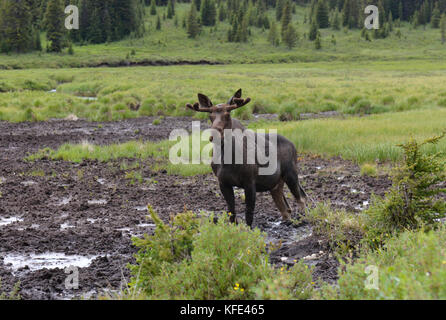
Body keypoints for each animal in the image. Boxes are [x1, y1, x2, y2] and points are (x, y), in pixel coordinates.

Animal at [186, 89, 306, 226]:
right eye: (210, 116)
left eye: (227, 115)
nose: (214, 136)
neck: (228, 159)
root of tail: (293, 145)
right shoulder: (223, 182)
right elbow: (231, 212)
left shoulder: (250, 182)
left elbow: (249, 214)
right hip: (275, 183)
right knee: (283, 204)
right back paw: (287, 221)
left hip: (290, 173)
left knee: (301, 197)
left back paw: (303, 219)